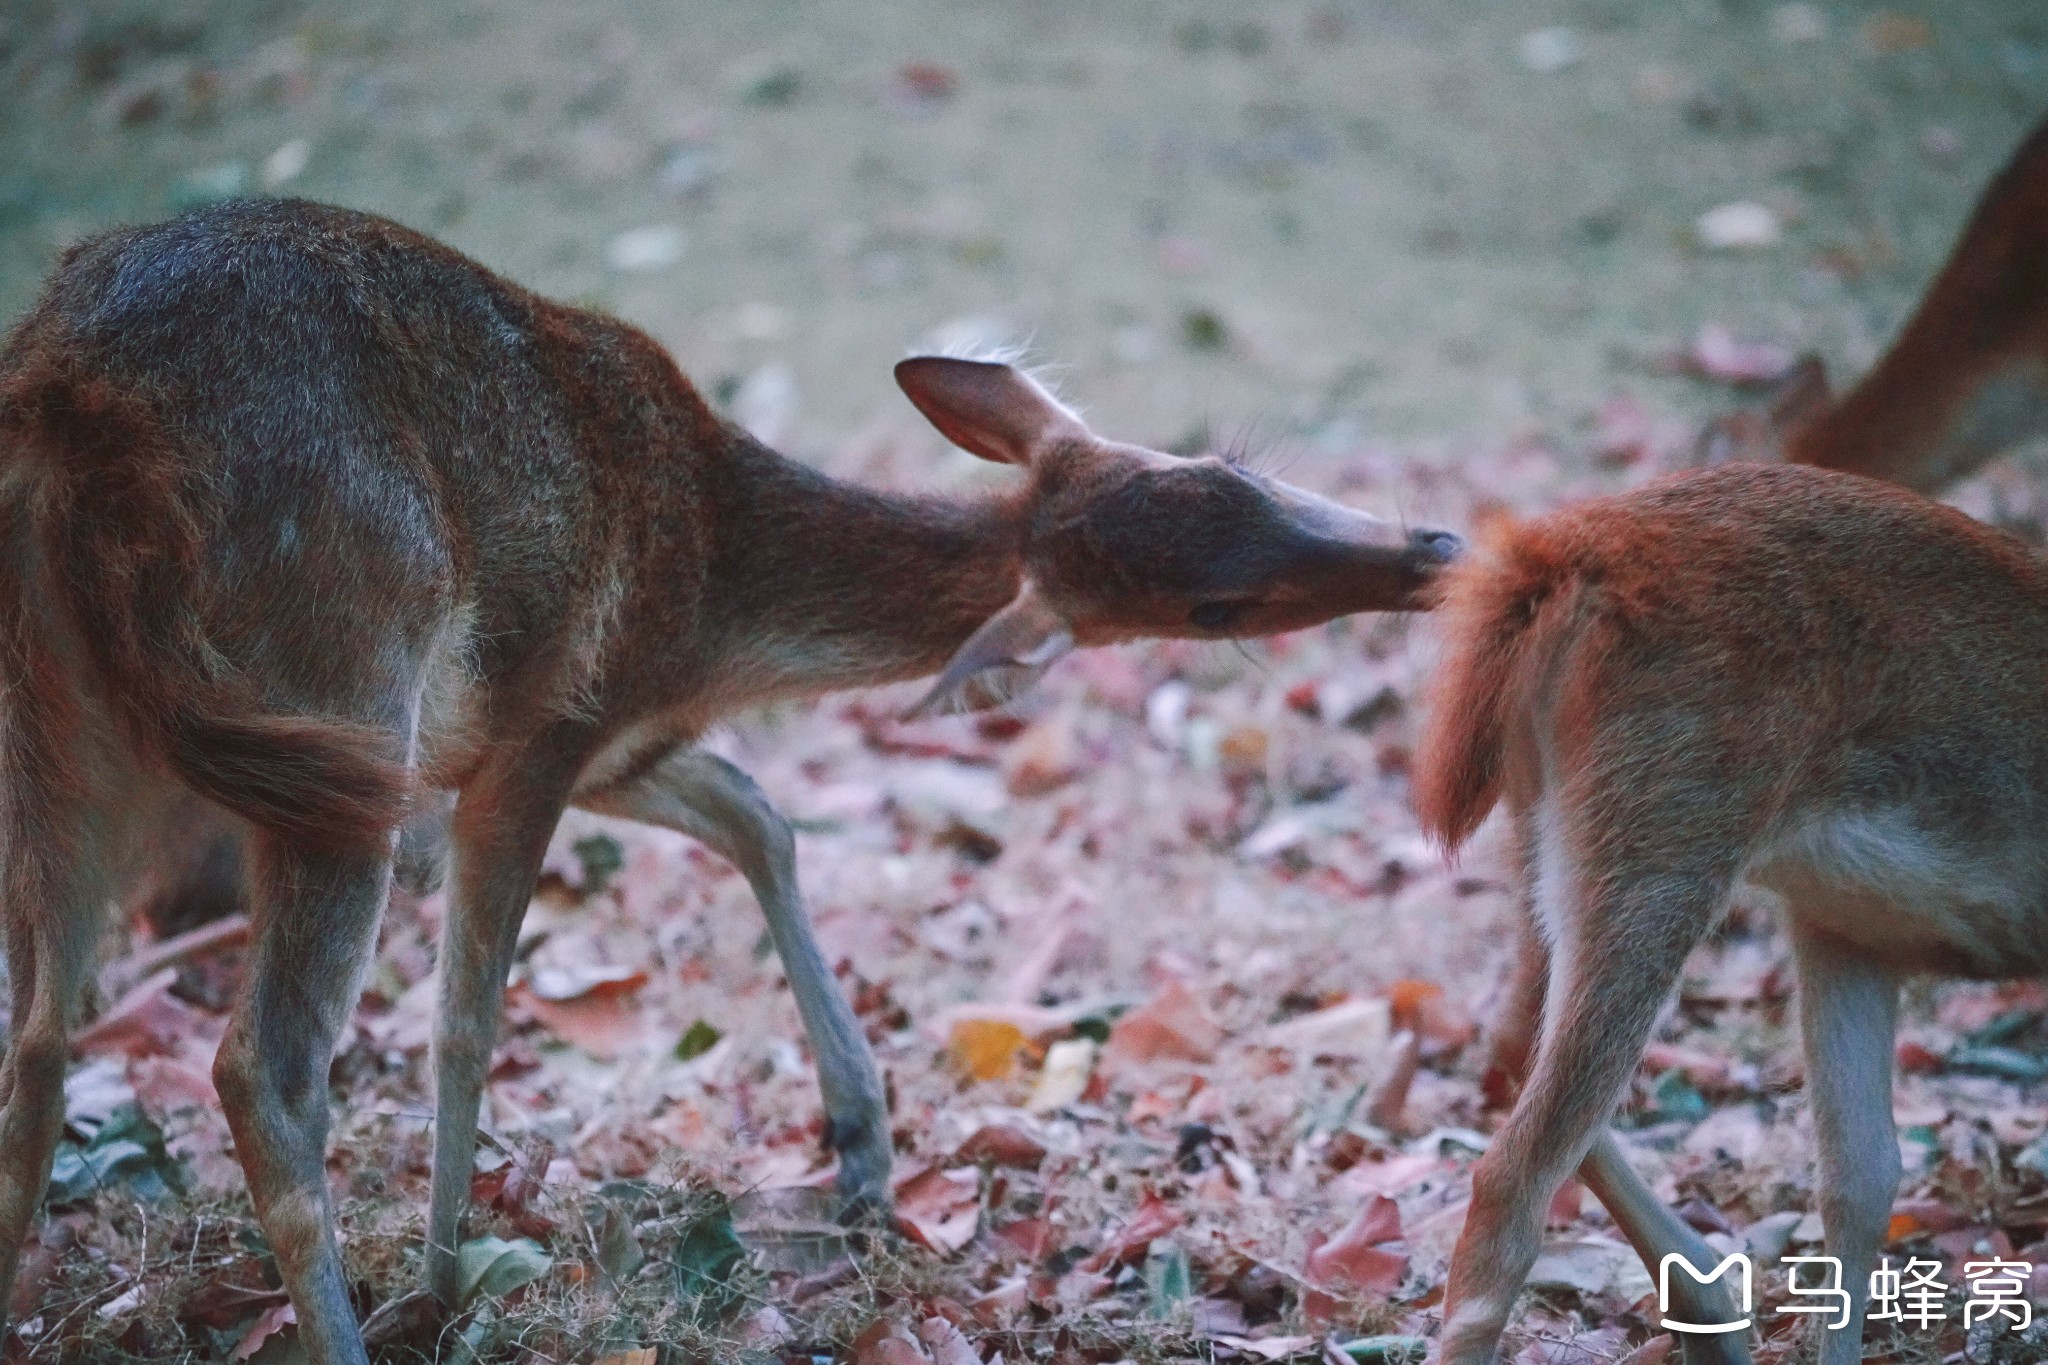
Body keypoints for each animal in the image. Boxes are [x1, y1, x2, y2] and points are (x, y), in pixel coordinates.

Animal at [0, 197, 1458, 1358]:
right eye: (1218, 609)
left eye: (1237, 467)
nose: (1431, 549)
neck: (717, 613)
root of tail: (75, 401)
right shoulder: (543, 720)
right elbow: (468, 1017)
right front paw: (442, 1284)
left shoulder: (612, 744)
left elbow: (759, 817)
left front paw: (863, 1153)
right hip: (337, 676)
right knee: (264, 1065)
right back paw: (348, 1323)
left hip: (73, 730)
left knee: (41, 1032)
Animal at [1417, 462, 2048, 1365]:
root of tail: (1565, 550)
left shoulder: (1843, 926)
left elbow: (1862, 1175)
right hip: (1670, 824)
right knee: (1516, 1166)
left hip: (1545, 822)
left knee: (1509, 1036)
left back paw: (1714, 1309)